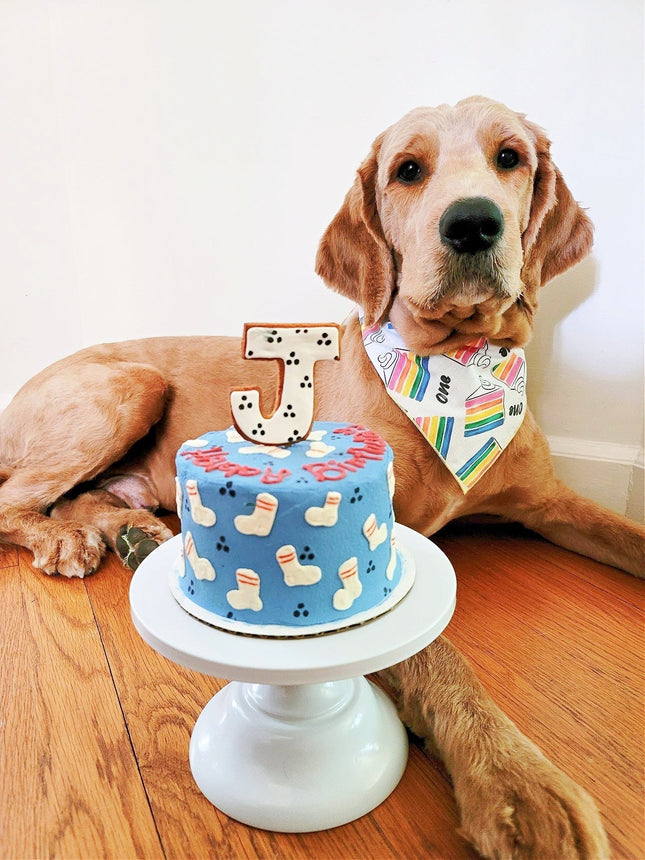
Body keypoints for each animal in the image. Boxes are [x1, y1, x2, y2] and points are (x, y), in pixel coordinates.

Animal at [2, 97, 640, 856]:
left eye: (509, 157)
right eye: (407, 170)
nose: (472, 223)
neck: (457, 364)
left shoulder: (549, 502)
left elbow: (626, 533)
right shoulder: (389, 542)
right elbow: (440, 658)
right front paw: (517, 783)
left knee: (76, 497)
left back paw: (125, 531)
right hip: (129, 385)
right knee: (16, 497)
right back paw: (65, 540)